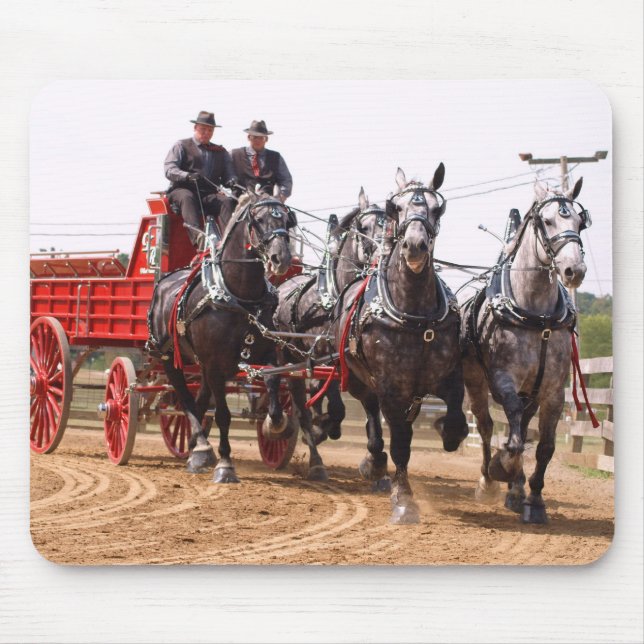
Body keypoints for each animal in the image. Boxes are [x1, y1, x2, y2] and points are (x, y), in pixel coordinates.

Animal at [148, 185, 294, 481]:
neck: (240, 297)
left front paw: (275, 423)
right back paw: (202, 448)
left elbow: (273, 382)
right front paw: (226, 465)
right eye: (258, 220)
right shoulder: (215, 364)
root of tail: (165, 280)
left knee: (200, 400)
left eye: (286, 220)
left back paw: (196, 449)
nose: (281, 258)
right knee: (185, 399)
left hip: (205, 365)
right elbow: (223, 415)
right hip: (170, 358)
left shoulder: (265, 353)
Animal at [273, 188, 390, 481]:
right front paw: (319, 428)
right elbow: (336, 408)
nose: (383, 254)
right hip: (287, 359)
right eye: (364, 227)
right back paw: (309, 453)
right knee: (293, 400)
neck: (335, 298)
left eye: (389, 224)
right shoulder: (329, 359)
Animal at [332, 166, 469, 523]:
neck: (415, 313)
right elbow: (400, 443)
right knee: (372, 415)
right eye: (397, 207)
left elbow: (455, 417)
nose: (415, 246)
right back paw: (374, 463)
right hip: (359, 380)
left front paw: (448, 432)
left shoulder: (446, 377)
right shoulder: (391, 386)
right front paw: (404, 499)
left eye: (437, 208)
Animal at [461, 178, 589, 523]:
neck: (538, 317)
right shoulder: (504, 380)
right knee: (489, 427)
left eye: (580, 222)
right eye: (547, 221)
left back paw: (516, 490)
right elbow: (514, 440)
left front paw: (534, 500)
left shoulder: (554, 390)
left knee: (521, 426)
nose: (574, 270)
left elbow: (543, 446)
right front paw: (501, 468)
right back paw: (488, 480)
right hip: (477, 384)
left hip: (531, 392)